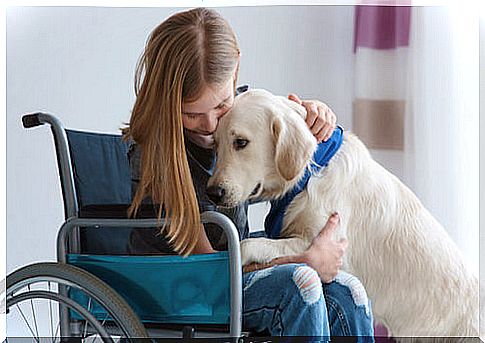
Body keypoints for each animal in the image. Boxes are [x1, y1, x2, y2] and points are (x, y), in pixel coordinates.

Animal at [205, 88, 480, 338]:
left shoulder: (325, 242)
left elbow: (252, 244)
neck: (309, 174)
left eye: (241, 142)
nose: (213, 192)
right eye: (216, 144)